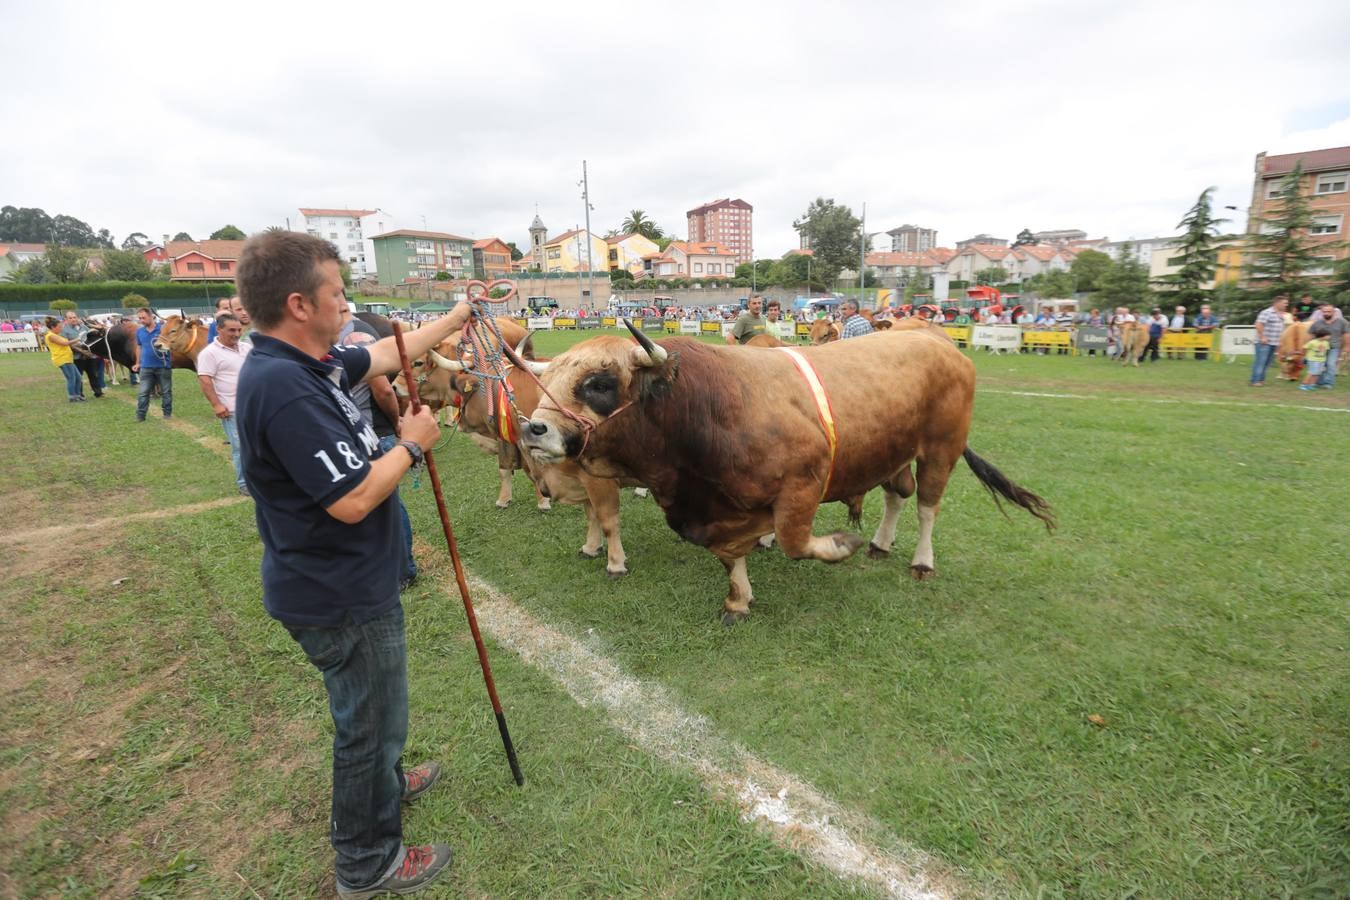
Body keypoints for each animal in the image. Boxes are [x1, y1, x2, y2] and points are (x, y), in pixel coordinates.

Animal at [515, 323, 1053, 626]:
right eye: (550, 376)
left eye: (599, 384)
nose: (532, 428)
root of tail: (940, 343)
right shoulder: (720, 510)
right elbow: (730, 556)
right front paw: (739, 600)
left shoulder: (803, 483)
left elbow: (797, 542)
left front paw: (840, 545)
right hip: (893, 451)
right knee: (899, 494)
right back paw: (881, 543)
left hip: (941, 448)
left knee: (927, 505)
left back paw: (920, 560)